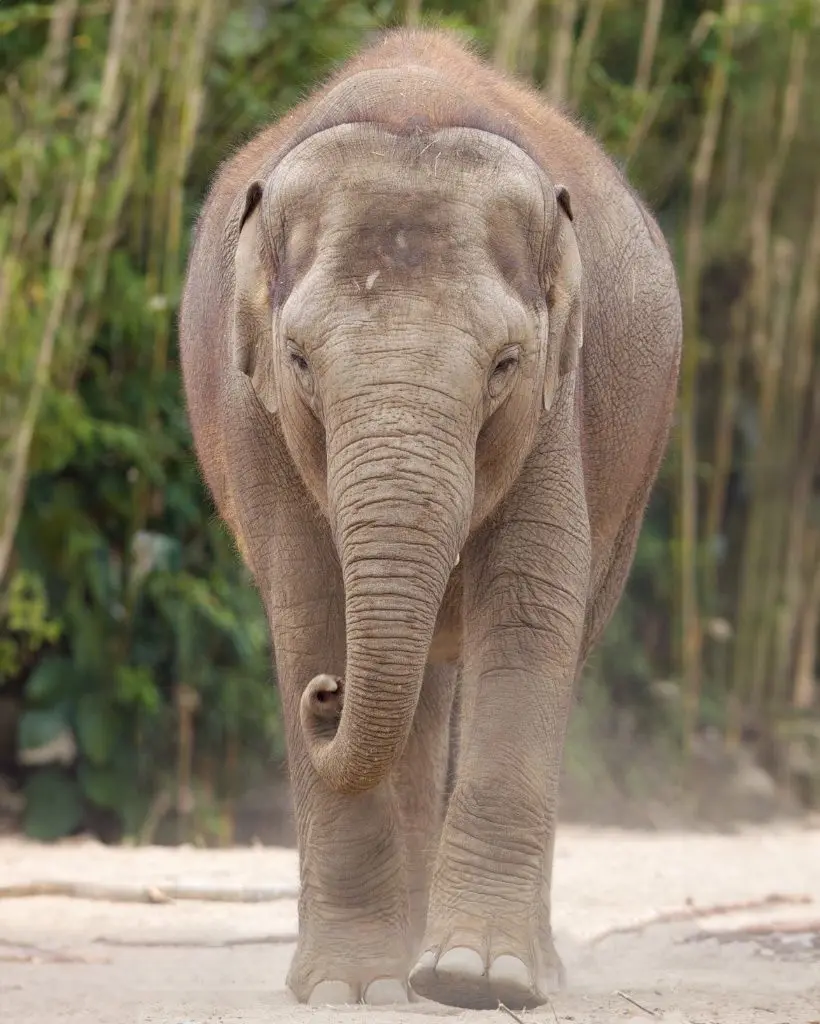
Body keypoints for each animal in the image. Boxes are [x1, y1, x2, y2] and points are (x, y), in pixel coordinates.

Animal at [179, 27, 682, 1012]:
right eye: (298, 359)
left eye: (506, 364)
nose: (324, 699)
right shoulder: (253, 412)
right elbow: (313, 609)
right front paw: (350, 990)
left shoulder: (559, 403)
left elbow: (529, 613)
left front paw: (479, 979)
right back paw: (398, 968)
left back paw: (498, 966)